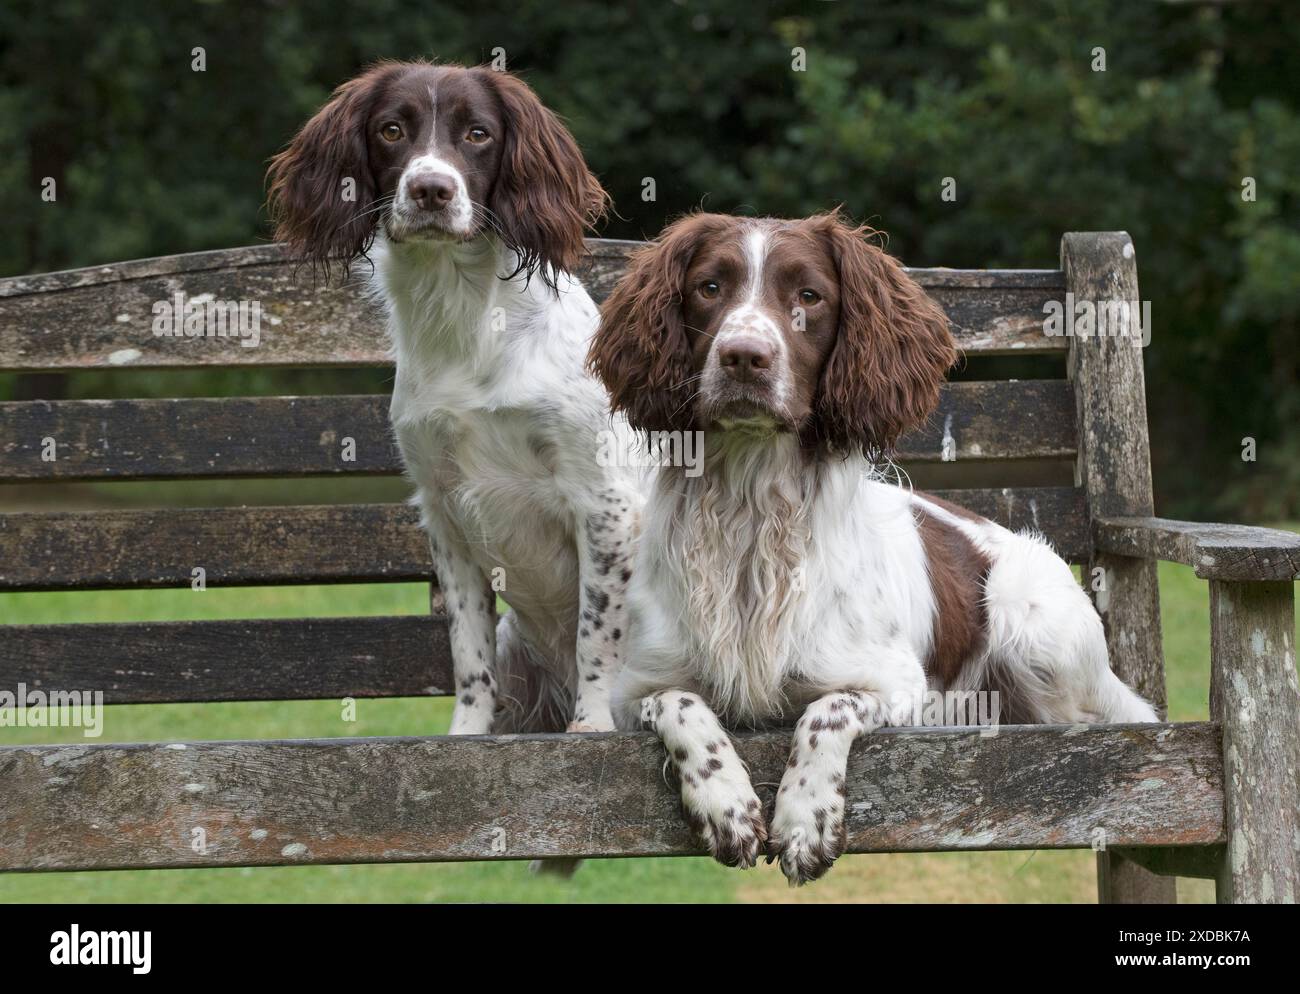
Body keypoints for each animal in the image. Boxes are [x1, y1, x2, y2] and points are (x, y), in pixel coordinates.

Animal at [270, 60, 644, 727]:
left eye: (477, 134)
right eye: (392, 129)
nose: (431, 190)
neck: (466, 321)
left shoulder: (607, 503)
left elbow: (598, 635)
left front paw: (593, 726)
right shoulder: (444, 510)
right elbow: (469, 654)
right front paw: (467, 733)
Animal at [585, 209, 1154, 883]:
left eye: (810, 296)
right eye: (709, 287)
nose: (744, 356)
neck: (753, 512)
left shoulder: (896, 682)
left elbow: (826, 711)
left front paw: (806, 819)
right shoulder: (633, 691)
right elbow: (681, 704)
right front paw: (726, 804)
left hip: (1031, 622)